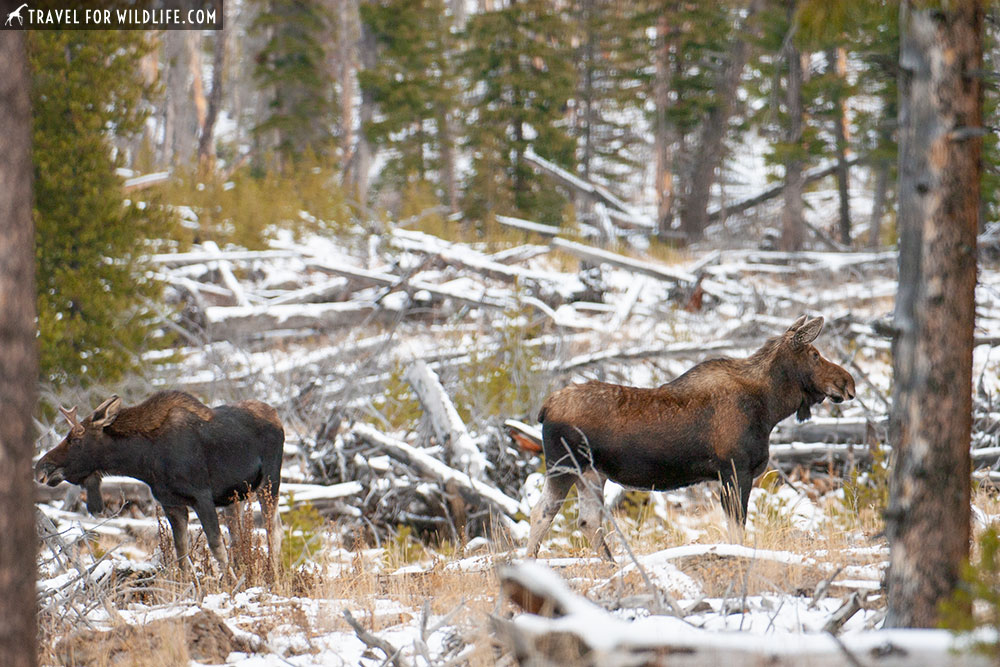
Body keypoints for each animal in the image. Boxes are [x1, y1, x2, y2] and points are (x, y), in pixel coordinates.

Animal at [36, 392, 286, 576]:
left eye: (75, 439)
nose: (41, 467)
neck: (146, 461)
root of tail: (277, 417)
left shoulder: (202, 497)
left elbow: (216, 546)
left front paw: (230, 585)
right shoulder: (171, 504)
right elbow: (181, 553)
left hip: (269, 483)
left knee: (274, 530)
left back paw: (273, 575)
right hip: (235, 497)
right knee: (240, 534)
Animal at [528, 316, 856, 560]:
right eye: (814, 355)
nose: (848, 383)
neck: (769, 406)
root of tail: (544, 409)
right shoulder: (735, 470)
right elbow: (737, 528)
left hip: (592, 474)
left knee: (587, 521)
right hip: (563, 466)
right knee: (542, 513)